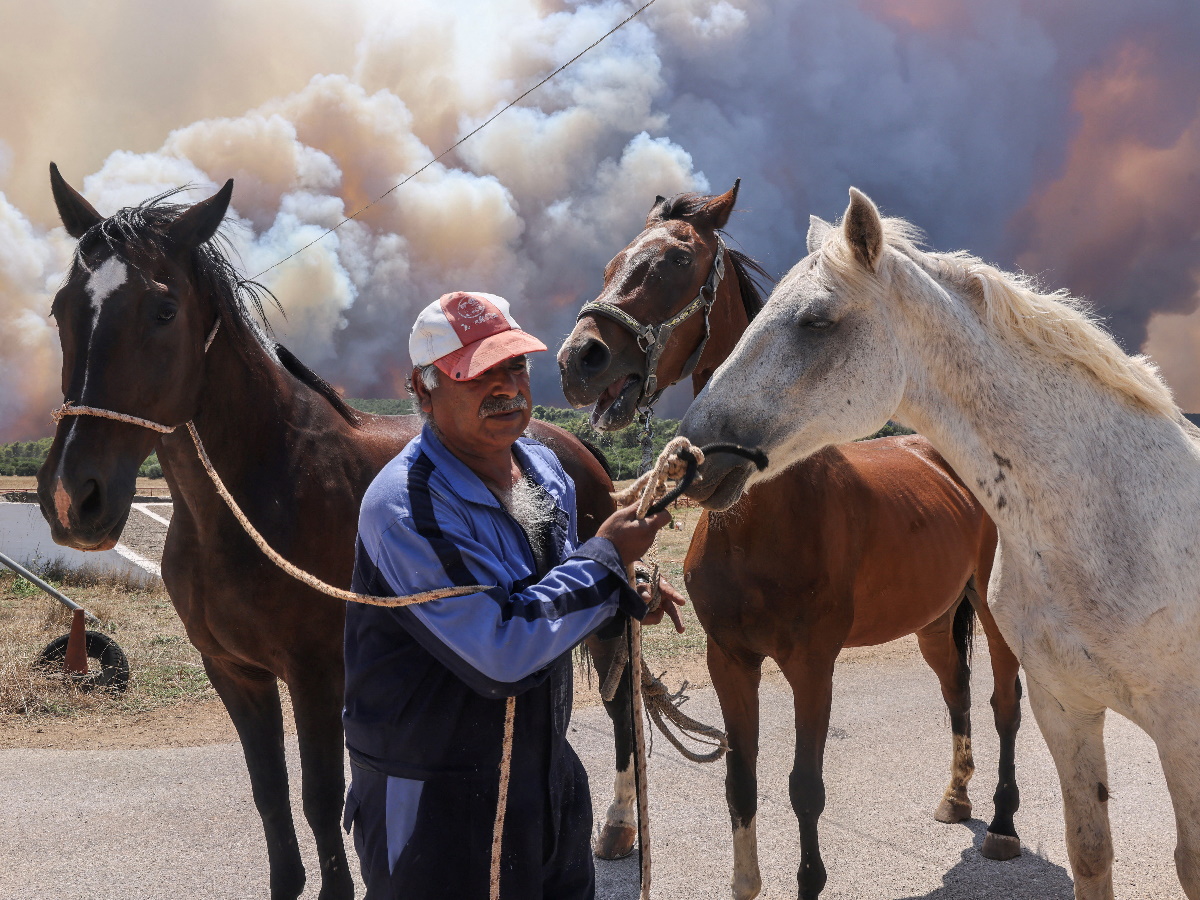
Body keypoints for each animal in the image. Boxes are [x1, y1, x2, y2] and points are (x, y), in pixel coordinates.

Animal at [35, 168, 638, 897]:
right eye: (61, 308)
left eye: (163, 311)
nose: (72, 497)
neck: (259, 493)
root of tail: (574, 444)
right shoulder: (234, 672)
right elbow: (270, 796)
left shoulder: (316, 674)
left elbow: (320, 797)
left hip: (611, 623)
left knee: (624, 713)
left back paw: (617, 827)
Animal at [559, 184, 1022, 900]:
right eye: (613, 260)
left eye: (675, 261)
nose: (580, 359)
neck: (763, 521)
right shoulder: (729, 659)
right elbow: (740, 779)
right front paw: (745, 881)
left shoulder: (812, 664)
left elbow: (805, 787)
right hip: (933, 619)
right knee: (957, 690)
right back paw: (956, 798)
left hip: (993, 613)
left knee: (1003, 702)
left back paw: (1000, 824)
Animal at [681, 187, 1200, 897]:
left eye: (816, 321)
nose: (692, 453)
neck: (1110, 519)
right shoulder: (1067, 709)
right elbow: (1090, 853)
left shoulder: (1183, 733)